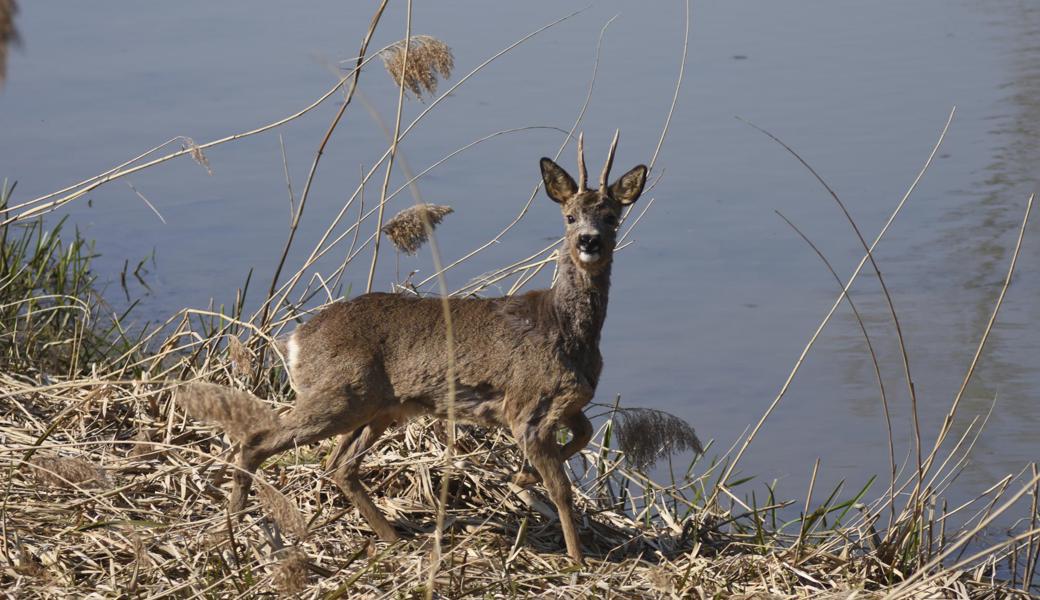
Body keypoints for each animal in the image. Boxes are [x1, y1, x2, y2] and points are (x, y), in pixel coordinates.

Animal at [183, 129, 644, 561]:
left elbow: (584, 435)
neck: (566, 331)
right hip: (339, 395)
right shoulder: (526, 407)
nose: (589, 241)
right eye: (569, 217)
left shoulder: (568, 404)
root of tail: (296, 339)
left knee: (339, 465)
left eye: (612, 216)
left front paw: (522, 479)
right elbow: (562, 490)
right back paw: (234, 530)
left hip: (378, 408)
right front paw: (577, 559)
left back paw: (393, 537)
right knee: (259, 440)